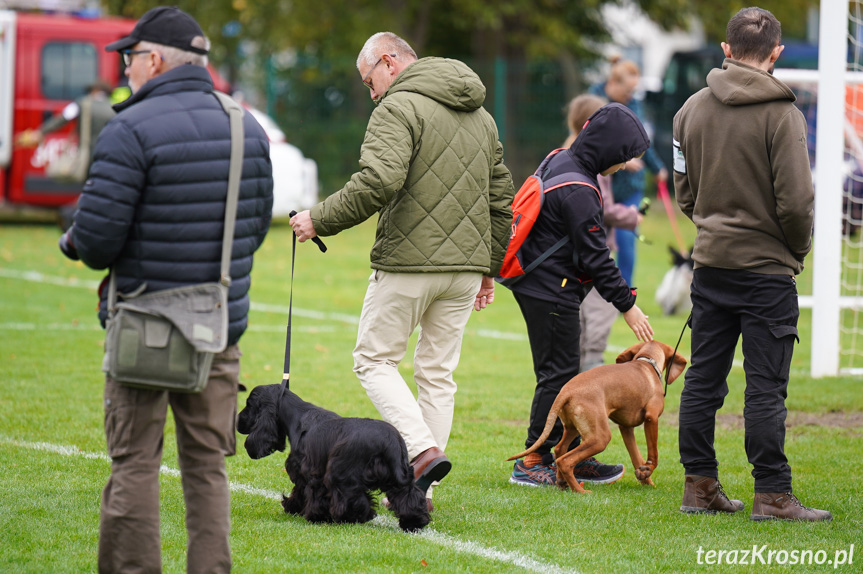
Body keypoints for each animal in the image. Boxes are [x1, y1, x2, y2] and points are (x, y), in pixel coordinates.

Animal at [510, 342, 684, 496]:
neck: (646, 362)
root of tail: (566, 392)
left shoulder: (626, 428)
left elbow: (636, 457)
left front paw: (646, 479)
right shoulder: (651, 418)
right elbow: (653, 455)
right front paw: (648, 471)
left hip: (573, 428)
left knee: (560, 449)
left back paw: (562, 482)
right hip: (600, 438)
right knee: (565, 461)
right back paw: (580, 491)